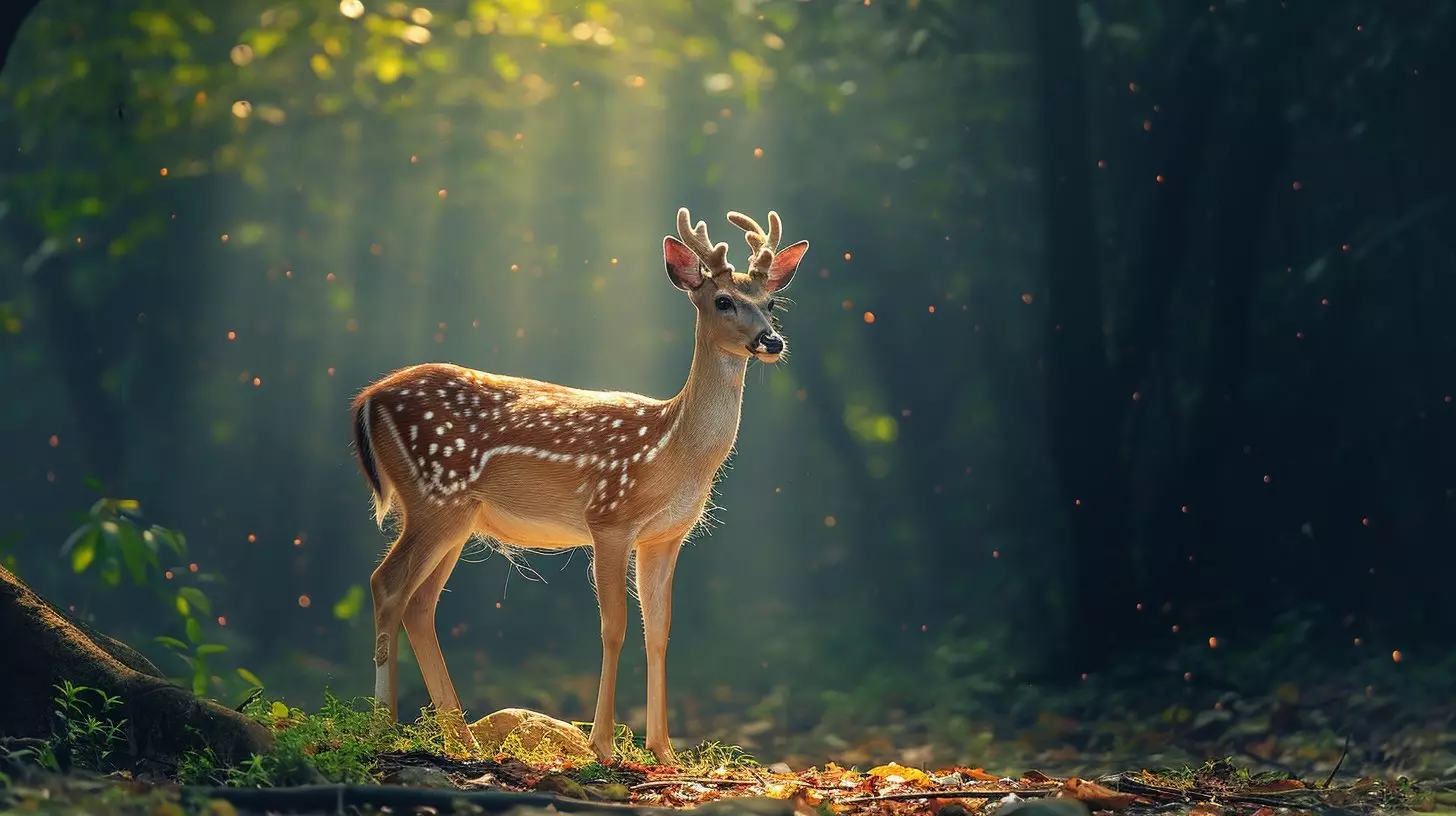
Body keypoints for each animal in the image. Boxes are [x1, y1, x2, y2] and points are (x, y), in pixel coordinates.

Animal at [349, 206, 809, 763]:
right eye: (722, 300)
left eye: (770, 302)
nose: (771, 341)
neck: (673, 451)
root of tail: (367, 399)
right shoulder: (610, 518)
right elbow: (615, 627)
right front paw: (604, 745)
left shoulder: (665, 537)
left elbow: (660, 632)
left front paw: (664, 752)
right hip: (433, 494)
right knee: (387, 584)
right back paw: (385, 726)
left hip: (457, 516)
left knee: (420, 605)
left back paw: (462, 739)